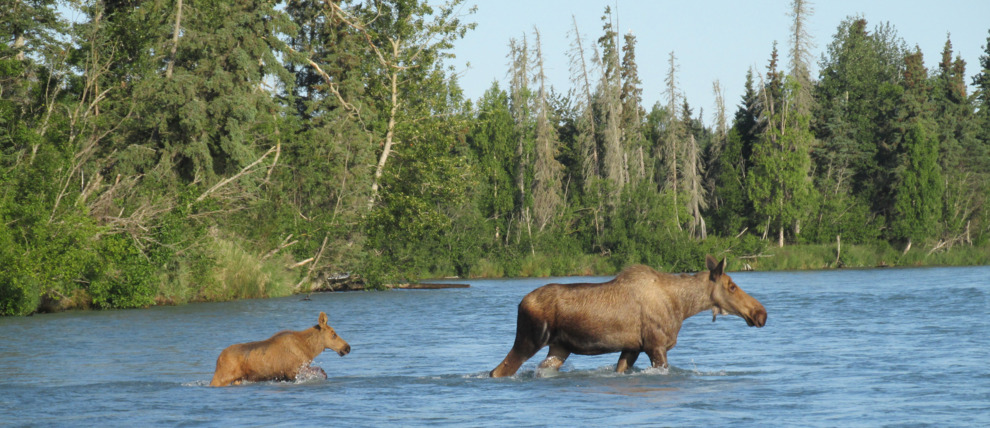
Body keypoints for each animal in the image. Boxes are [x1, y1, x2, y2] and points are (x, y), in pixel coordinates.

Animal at [209, 310, 352, 388]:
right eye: (334, 334)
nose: (347, 347)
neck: (309, 349)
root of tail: (218, 358)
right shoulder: (293, 370)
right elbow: (321, 371)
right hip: (222, 376)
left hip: (237, 379)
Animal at [488, 254, 768, 378]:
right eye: (732, 285)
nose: (760, 313)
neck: (683, 307)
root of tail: (520, 303)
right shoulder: (656, 346)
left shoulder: (632, 347)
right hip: (530, 338)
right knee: (497, 371)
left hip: (559, 348)